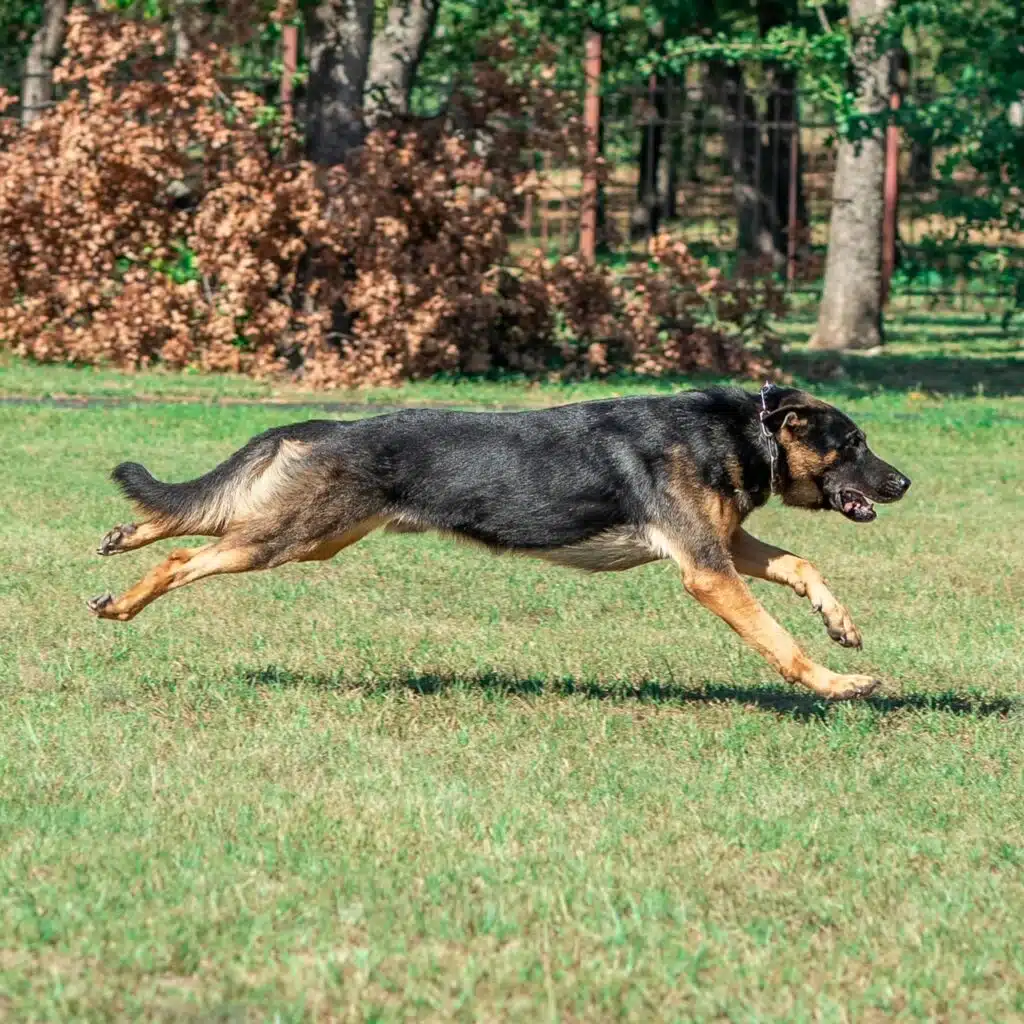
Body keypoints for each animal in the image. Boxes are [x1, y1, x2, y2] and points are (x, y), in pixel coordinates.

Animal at [90, 385, 913, 704]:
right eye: (854, 443)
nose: (904, 482)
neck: (746, 433)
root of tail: (335, 425)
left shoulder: (725, 546)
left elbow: (803, 565)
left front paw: (841, 624)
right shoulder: (706, 571)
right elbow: (779, 643)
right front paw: (837, 685)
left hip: (315, 535)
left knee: (196, 519)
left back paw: (126, 535)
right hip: (295, 536)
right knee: (186, 557)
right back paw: (124, 603)